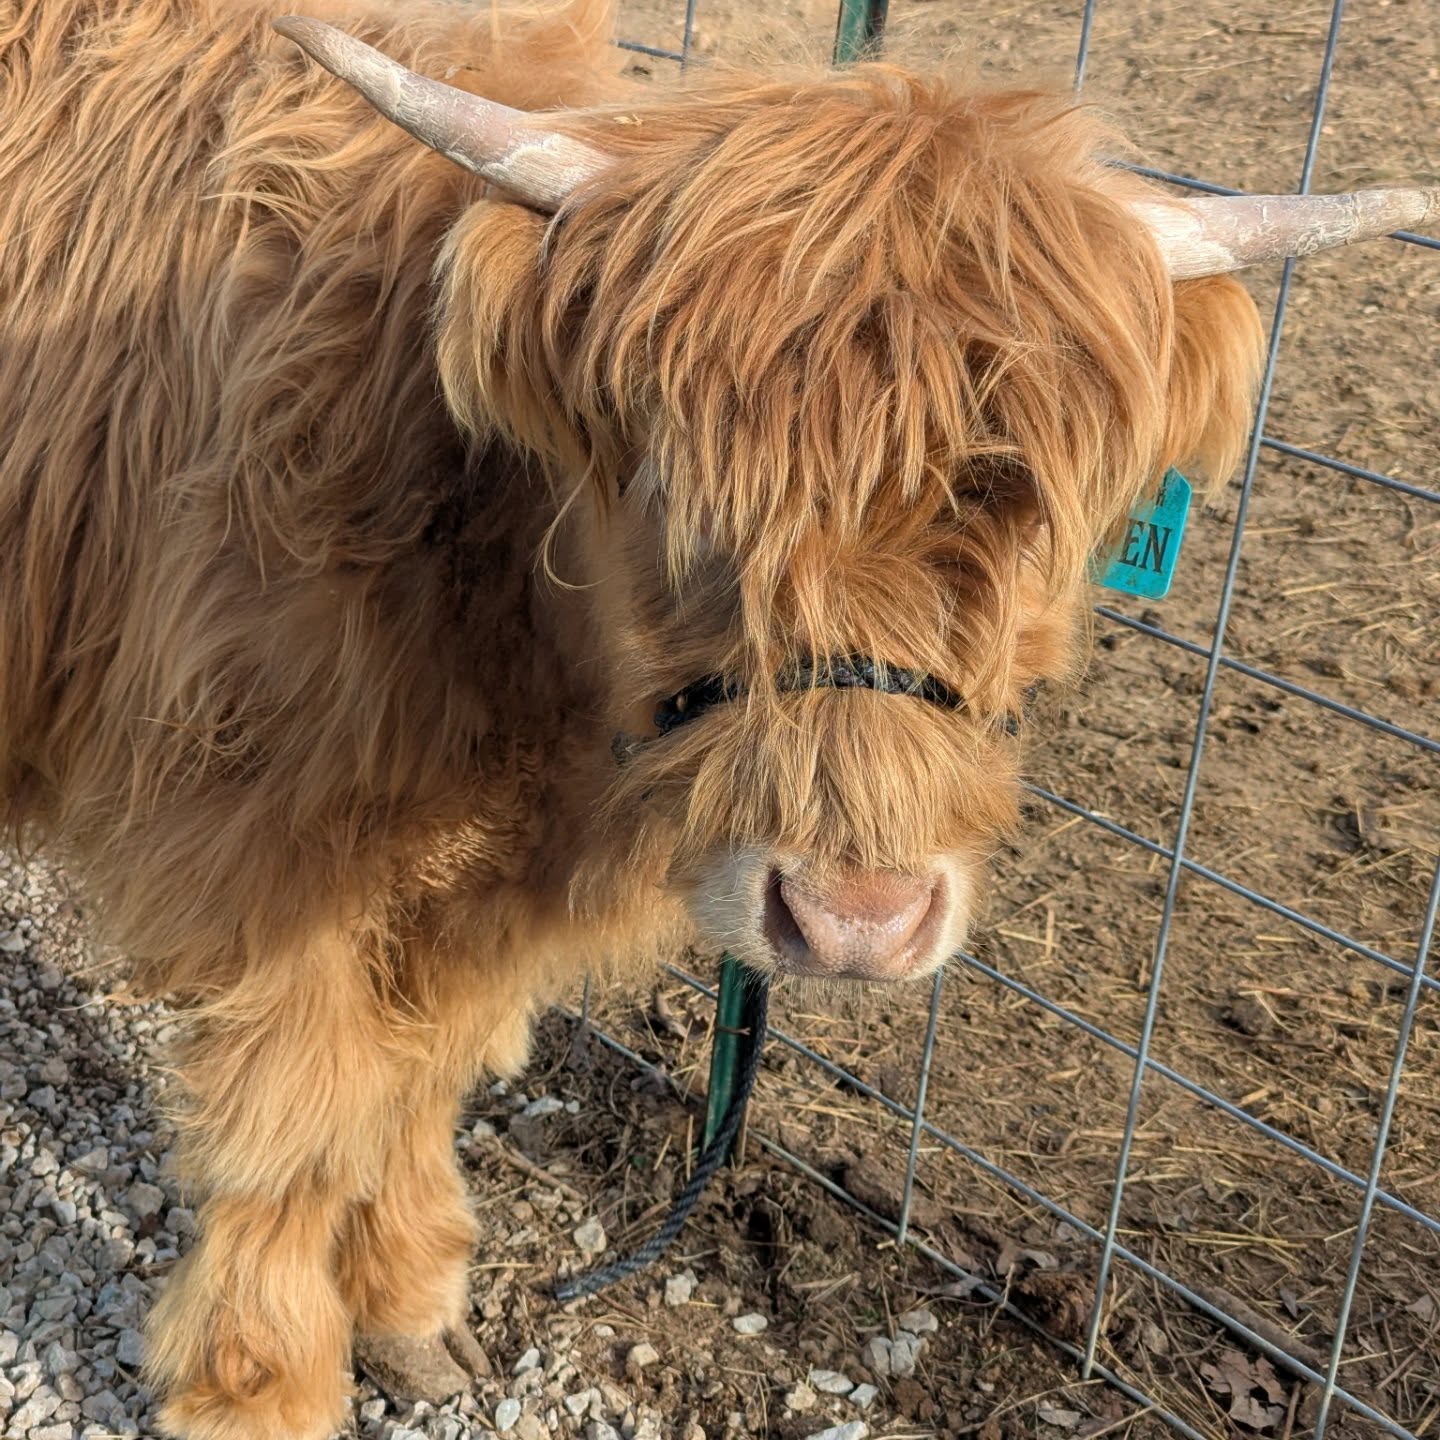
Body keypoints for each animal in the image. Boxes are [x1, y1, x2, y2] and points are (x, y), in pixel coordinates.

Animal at [1, 0, 1434, 1433]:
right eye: (681, 496)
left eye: (1030, 518)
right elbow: (296, 1117)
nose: (858, 922)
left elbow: (422, 1071)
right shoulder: (265, 844)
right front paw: (260, 1384)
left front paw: (410, 1305)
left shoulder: (487, 892)